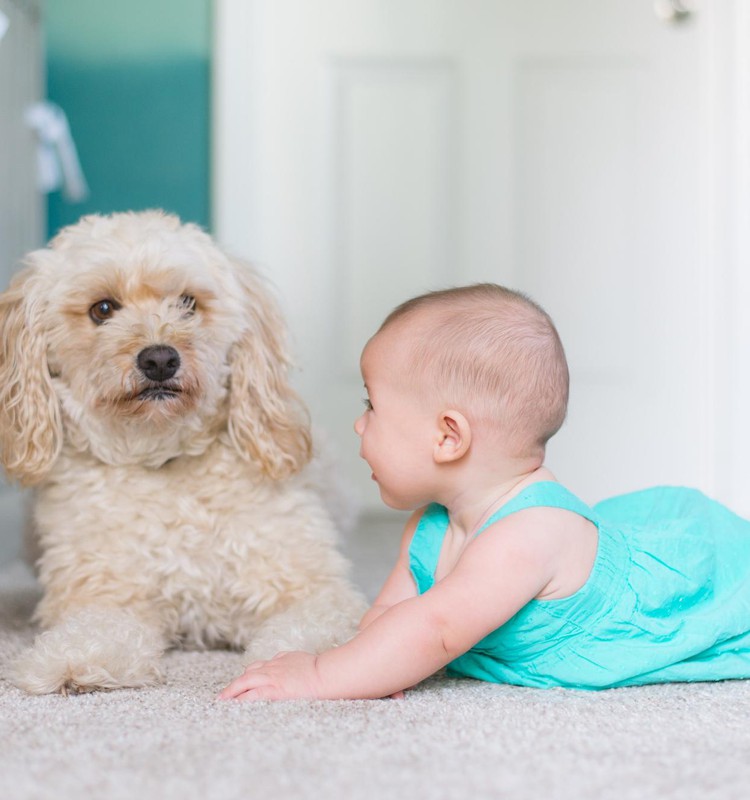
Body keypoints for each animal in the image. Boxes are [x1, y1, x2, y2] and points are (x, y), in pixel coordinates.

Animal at [0, 211, 368, 692]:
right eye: (103, 309)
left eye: (189, 303)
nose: (159, 359)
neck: (164, 460)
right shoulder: (103, 593)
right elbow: (98, 628)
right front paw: (74, 659)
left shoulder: (311, 587)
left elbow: (313, 627)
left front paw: (301, 664)